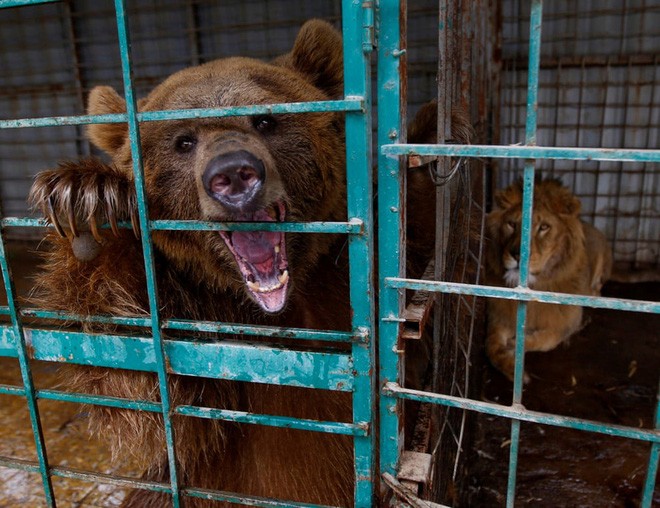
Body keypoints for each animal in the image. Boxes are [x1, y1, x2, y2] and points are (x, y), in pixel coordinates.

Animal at [29, 19, 360, 508]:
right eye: (183, 140)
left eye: (266, 120)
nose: (234, 173)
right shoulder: (202, 330)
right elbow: (136, 378)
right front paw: (89, 203)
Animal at [484, 179, 612, 380]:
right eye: (511, 224)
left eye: (544, 227)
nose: (517, 254)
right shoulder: (499, 317)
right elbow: (491, 348)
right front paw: (511, 366)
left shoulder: (566, 322)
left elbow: (546, 339)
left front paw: (515, 344)